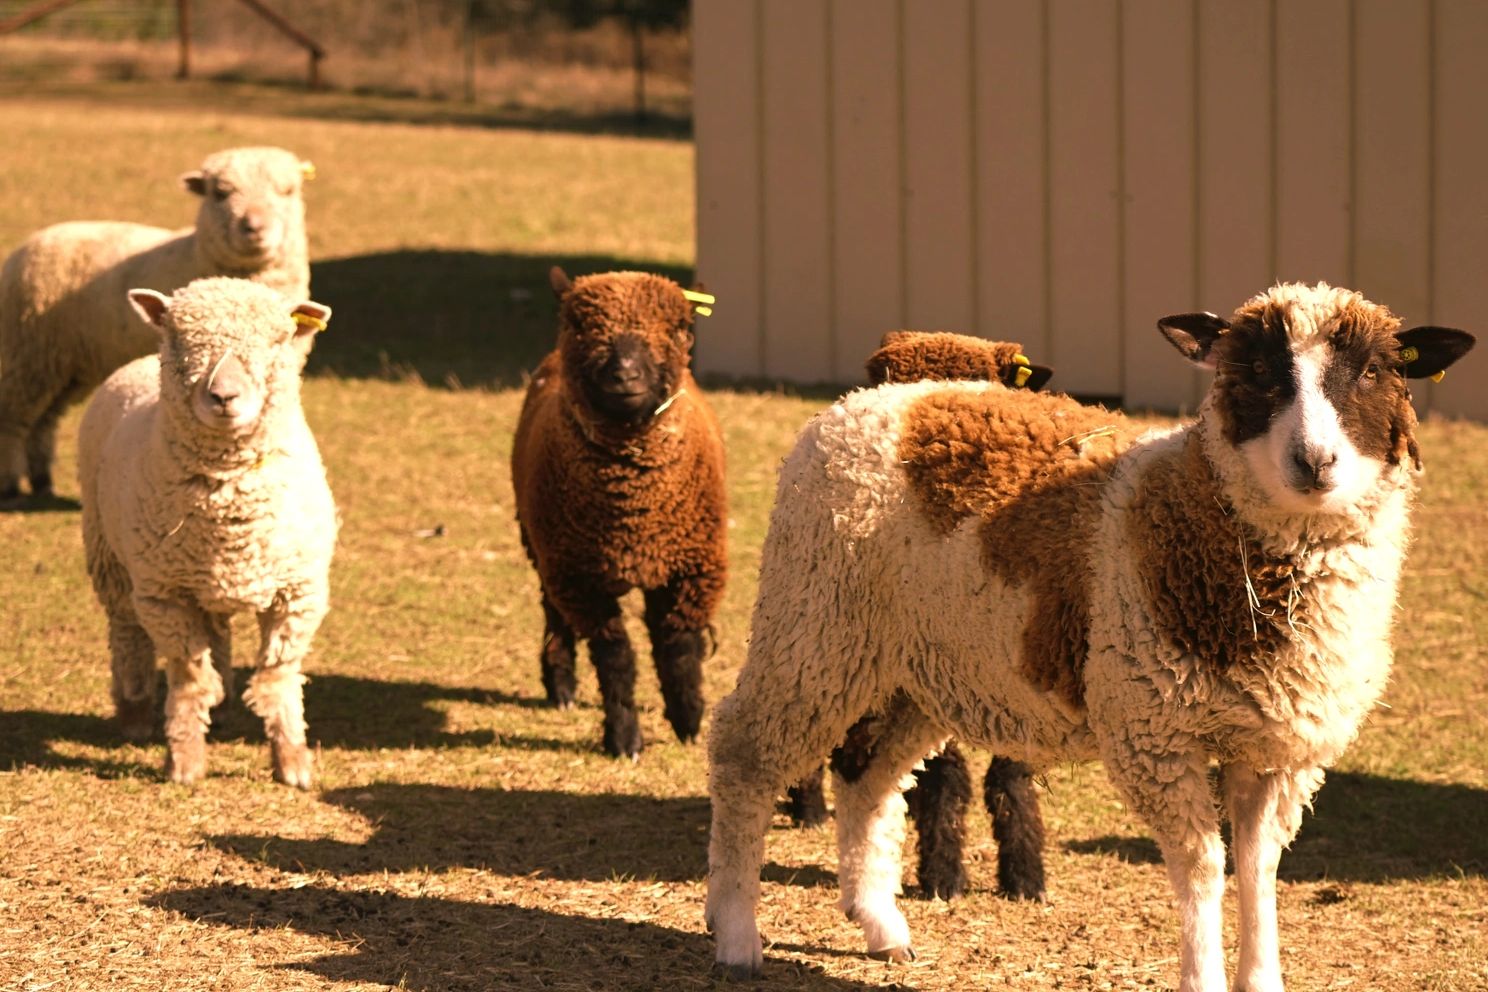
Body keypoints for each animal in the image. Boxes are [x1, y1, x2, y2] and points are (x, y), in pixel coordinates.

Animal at [0, 145, 313, 505]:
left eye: (287, 191)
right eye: (221, 193)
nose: (254, 227)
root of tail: (27, 244)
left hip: (61, 364)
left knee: (44, 420)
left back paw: (42, 481)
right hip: (27, 352)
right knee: (13, 417)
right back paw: (10, 484)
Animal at [78, 278, 334, 791]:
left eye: (278, 339)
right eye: (179, 339)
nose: (223, 396)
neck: (229, 506)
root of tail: (138, 361)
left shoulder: (299, 594)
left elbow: (277, 679)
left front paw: (292, 764)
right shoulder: (165, 597)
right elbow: (190, 679)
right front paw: (185, 763)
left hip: (205, 583)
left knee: (216, 631)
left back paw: (227, 707)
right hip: (112, 559)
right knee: (127, 632)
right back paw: (135, 713)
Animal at [508, 267, 729, 755]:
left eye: (680, 328)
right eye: (581, 326)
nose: (625, 374)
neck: (633, 507)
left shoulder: (693, 568)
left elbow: (679, 646)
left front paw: (688, 720)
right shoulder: (580, 577)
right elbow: (615, 659)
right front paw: (624, 738)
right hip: (543, 547)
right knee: (553, 613)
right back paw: (561, 686)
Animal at [708, 281, 1476, 992]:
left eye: (1373, 372)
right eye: (1258, 370)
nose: (1315, 463)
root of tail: (878, 399)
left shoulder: (1277, 749)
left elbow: (1259, 869)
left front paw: (1261, 980)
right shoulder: (1156, 734)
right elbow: (1203, 867)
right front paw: (1202, 976)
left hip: (917, 670)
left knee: (868, 778)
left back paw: (880, 925)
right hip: (813, 623)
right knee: (744, 755)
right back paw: (736, 932)